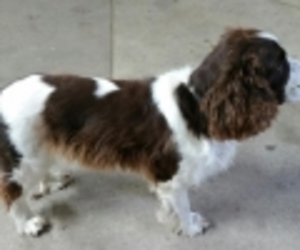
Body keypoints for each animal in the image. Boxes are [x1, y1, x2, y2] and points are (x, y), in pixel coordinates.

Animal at [0, 28, 300, 237]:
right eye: (280, 64)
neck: (199, 103)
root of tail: (2, 95)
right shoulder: (171, 175)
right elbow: (183, 205)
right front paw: (190, 227)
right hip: (20, 158)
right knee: (13, 194)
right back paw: (28, 223)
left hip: (38, 146)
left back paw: (53, 180)